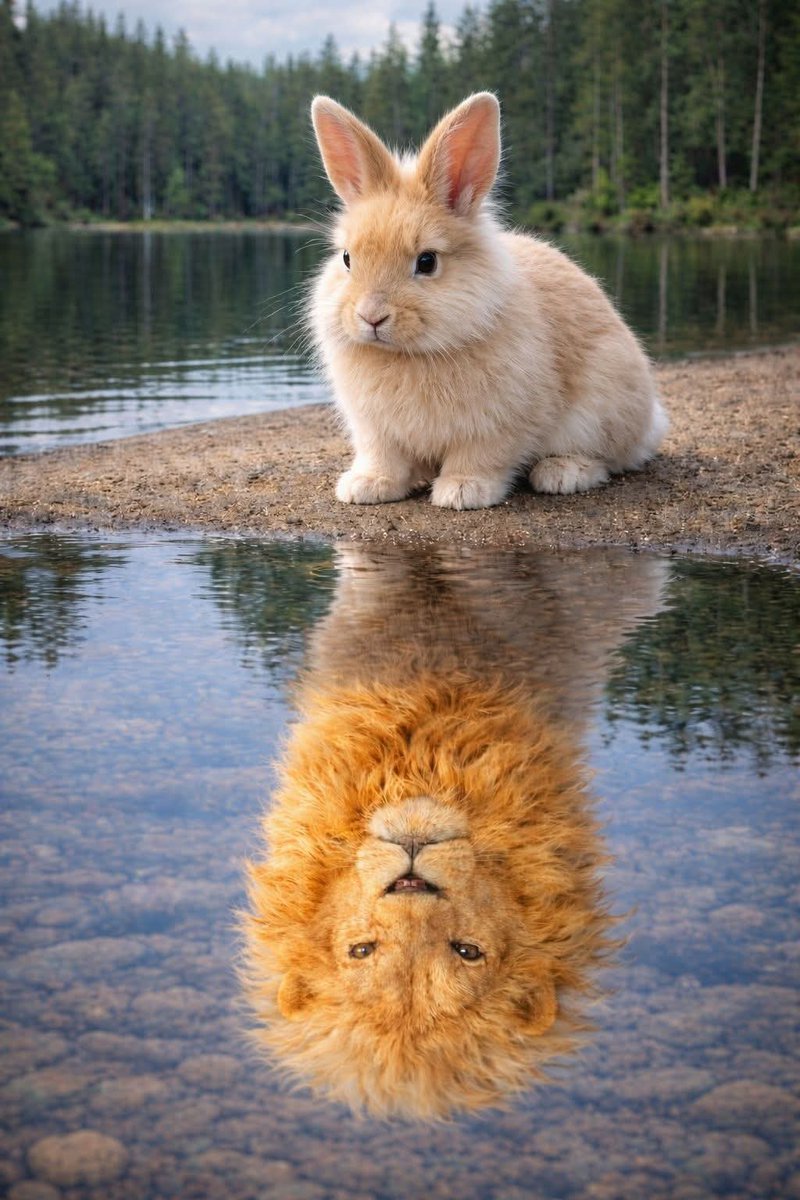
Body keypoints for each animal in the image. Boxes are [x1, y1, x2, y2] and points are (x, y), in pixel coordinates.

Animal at [310, 92, 669, 511]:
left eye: (427, 262)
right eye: (347, 258)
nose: (371, 317)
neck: (409, 356)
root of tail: (650, 421)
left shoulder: (496, 423)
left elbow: (482, 456)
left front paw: (462, 491)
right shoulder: (375, 430)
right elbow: (384, 457)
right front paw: (366, 486)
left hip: (601, 410)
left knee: (612, 458)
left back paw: (561, 474)